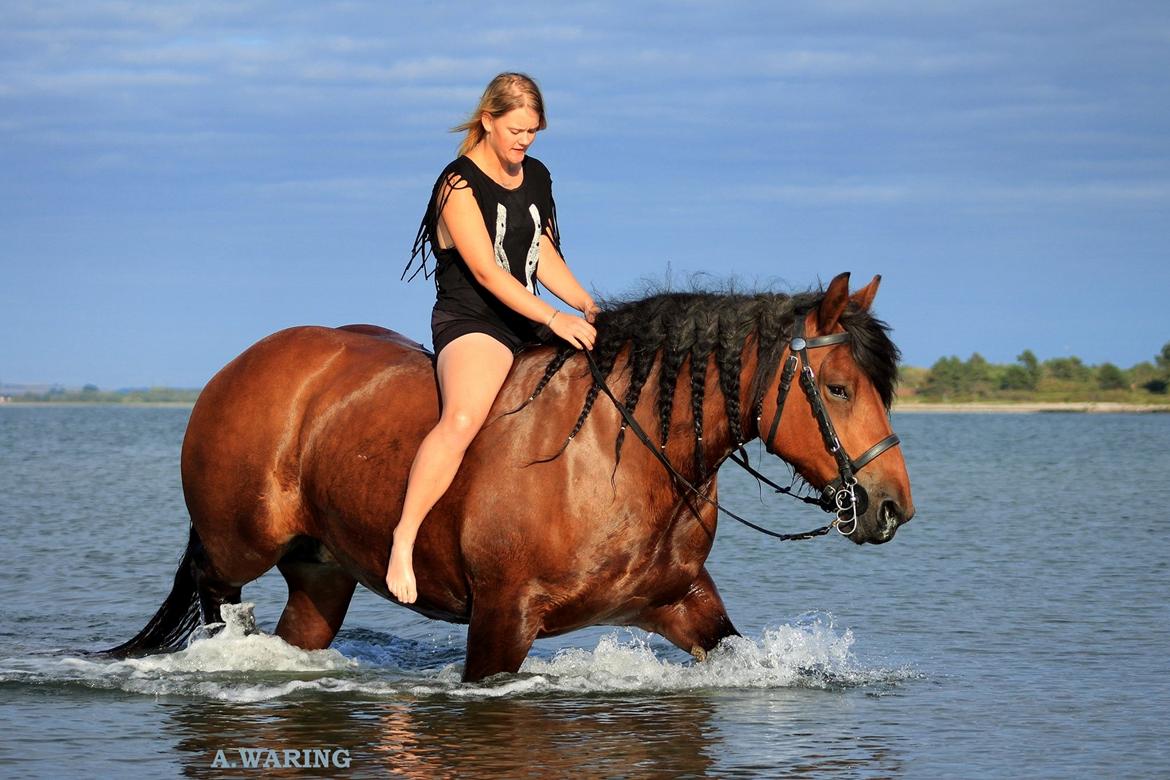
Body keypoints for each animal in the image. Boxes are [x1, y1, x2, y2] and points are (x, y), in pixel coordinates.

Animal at [102, 271, 912, 678]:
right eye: (839, 387)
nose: (890, 505)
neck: (618, 457)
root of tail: (238, 367)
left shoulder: (683, 604)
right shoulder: (501, 621)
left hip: (321, 573)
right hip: (237, 548)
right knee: (213, 598)